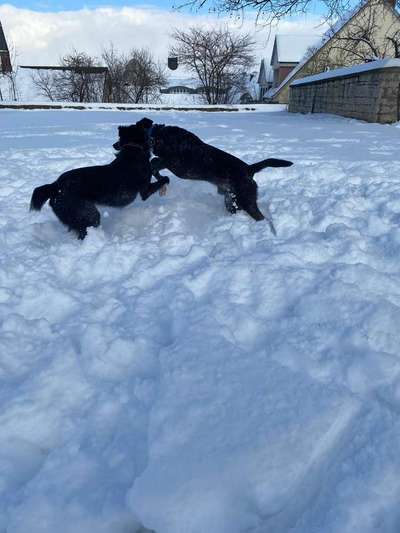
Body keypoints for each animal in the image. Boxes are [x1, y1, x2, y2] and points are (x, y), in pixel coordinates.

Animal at [114, 117, 292, 225]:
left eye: (122, 137)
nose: (114, 145)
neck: (158, 136)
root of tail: (249, 169)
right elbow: (155, 163)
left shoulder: (177, 164)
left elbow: (155, 162)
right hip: (231, 199)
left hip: (246, 200)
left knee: (260, 217)